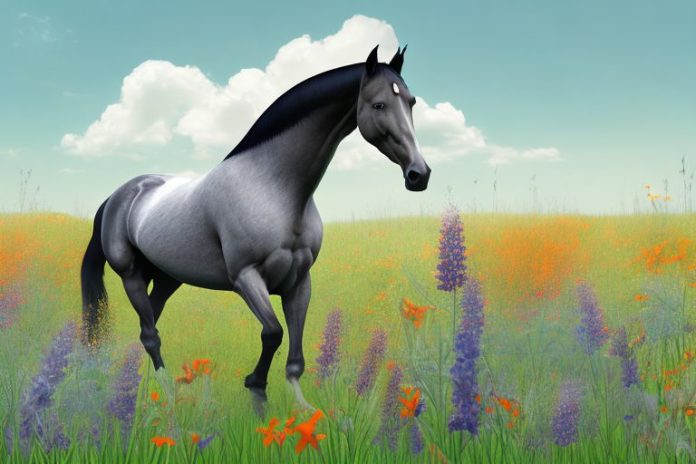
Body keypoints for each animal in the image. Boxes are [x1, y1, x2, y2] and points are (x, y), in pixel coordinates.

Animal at [80, 45, 431, 408]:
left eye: (411, 101)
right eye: (378, 105)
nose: (419, 174)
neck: (271, 187)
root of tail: (118, 195)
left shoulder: (299, 281)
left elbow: (295, 355)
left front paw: (302, 408)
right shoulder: (246, 277)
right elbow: (273, 333)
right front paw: (256, 387)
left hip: (167, 277)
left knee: (152, 319)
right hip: (131, 274)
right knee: (150, 333)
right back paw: (166, 393)